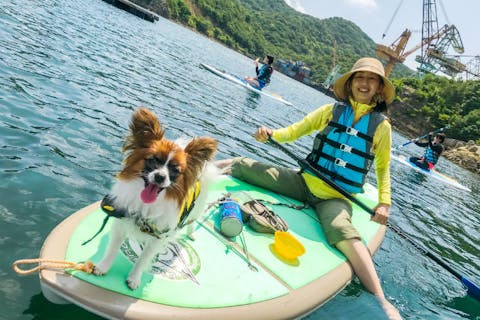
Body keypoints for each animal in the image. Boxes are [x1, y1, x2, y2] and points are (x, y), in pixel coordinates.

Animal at [92, 107, 219, 290]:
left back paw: (191, 234)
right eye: (153, 160)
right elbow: (113, 249)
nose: (160, 177)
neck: (146, 205)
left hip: (196, 210)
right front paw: (103, 267)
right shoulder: (121, 224)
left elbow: (143, 259)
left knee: (192, 222)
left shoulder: (158, 238)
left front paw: (134, 278)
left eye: (175, 170)